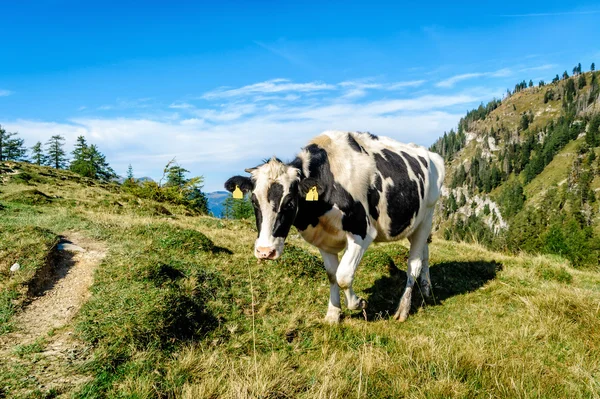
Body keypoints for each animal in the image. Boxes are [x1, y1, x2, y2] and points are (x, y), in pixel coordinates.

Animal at [225, 132, 446, 324]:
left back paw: (403, 309)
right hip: (414, 223)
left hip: (428, 215)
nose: (265, 251)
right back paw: (426, 289)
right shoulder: (323, 239)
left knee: (413, 264)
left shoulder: (362, 232)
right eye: (254, 201)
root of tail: (429, 154)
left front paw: (358, 303)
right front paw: (333, 314)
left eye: (289, 202)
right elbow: (332, 275)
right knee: (425, 252)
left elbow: (344, 276)